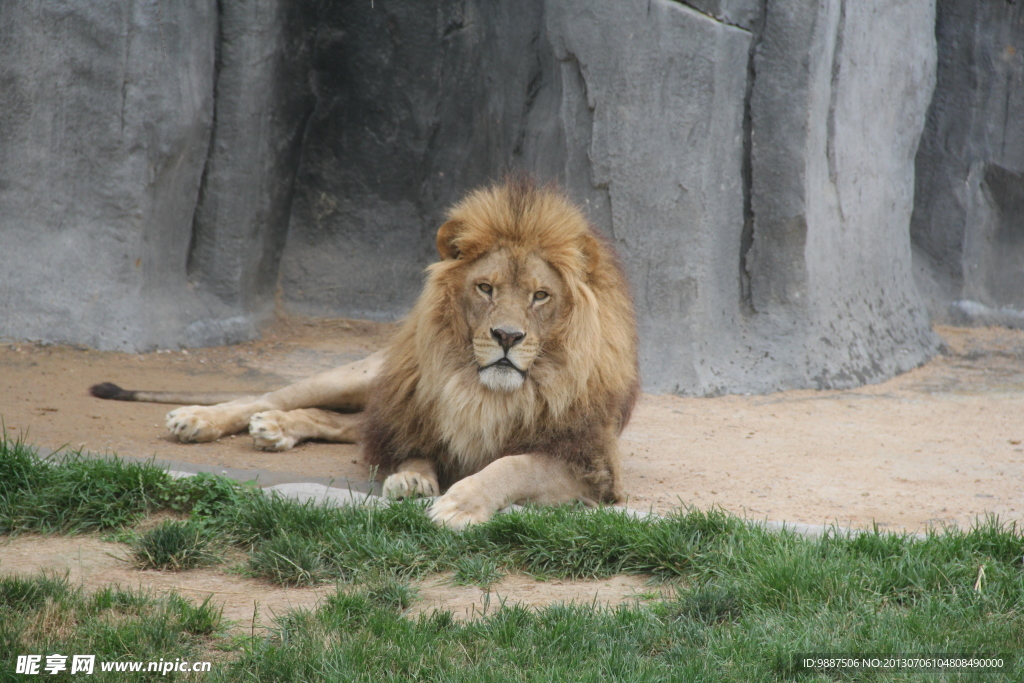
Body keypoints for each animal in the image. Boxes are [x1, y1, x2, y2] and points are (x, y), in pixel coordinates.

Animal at [96, 180, 638, 528]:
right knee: (272, 397)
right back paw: (202, 419)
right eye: (486, 287)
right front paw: (413, 481)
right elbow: (413, 449)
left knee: (339, 424)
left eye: (540, 296)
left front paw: (459, 503)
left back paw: (276, 430)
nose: (507, 336)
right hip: (360, 376)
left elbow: (511, 464)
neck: (482, 391)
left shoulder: (589, 467)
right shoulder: (412, 411)